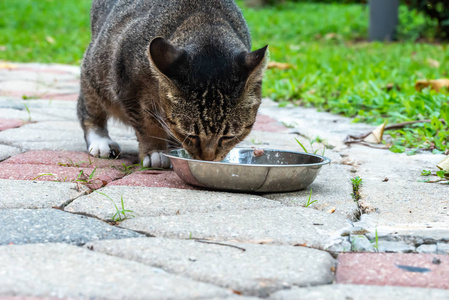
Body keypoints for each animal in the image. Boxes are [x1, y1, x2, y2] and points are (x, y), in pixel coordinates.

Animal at [77, 0, 266, 169]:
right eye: (191, 135)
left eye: (228, 137)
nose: (208, 159)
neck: (206, 26)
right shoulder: (127, 84)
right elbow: (146, 123)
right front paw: (156, 151)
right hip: (96, 68)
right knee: (89, 107)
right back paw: (100, 139)